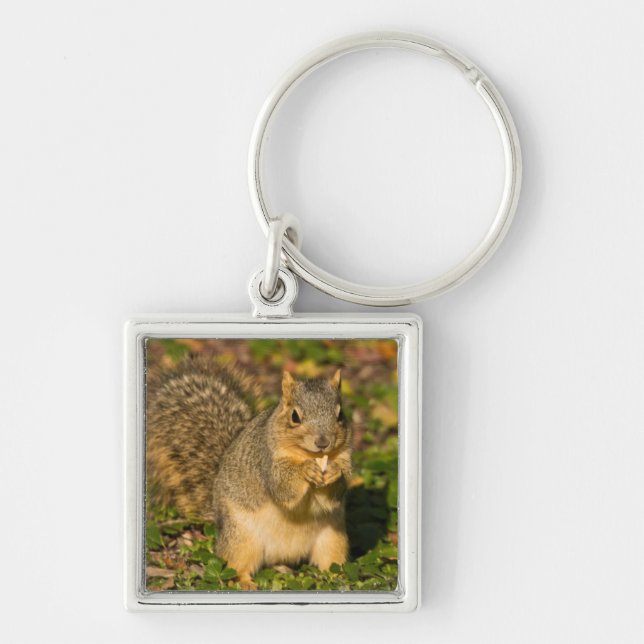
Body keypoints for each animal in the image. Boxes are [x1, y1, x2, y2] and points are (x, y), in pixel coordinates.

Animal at [146, 355, 352, 589]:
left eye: (340, 415)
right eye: (295, 416)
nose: (323, 442)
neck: (308, 454)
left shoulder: (345, 458)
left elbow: (334, 494)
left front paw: (334, 472)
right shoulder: (266, 462)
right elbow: (283, 488)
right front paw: (305, 470)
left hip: (333, 538)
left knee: (330, 562)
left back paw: (337, 577)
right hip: (241, 538)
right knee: (236, 564)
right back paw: (244, 582)